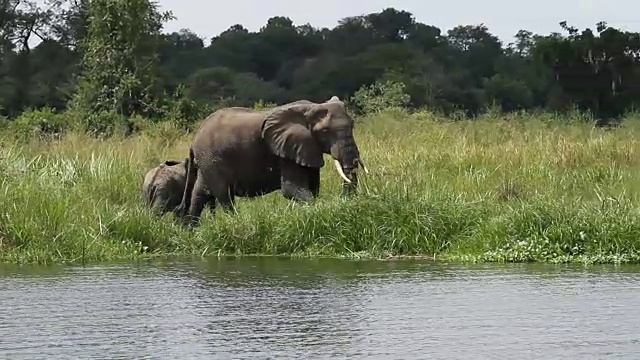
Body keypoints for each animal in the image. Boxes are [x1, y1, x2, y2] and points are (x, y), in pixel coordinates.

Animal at [178, 95, 370, 225]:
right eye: (324, 132)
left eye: (353, 125)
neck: (312, 108)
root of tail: (195, 138)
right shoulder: (287, 149)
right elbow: (291, 189)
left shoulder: (305, 149)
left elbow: (313, 187)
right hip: (212, 158)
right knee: (224, 195)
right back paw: (235, 222)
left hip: (207, 160)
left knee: (201, 192)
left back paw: (191, 231)